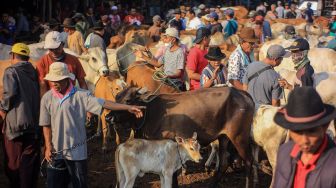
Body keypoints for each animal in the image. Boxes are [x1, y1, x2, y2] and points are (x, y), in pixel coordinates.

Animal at [110, 86, 255, 188]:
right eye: (116, 97)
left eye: (128, 100)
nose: (108, 117)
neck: (150, 113)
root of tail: (241, 93)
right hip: (224, 137)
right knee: (224, 162)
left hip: (239, 136)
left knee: (249, 161)